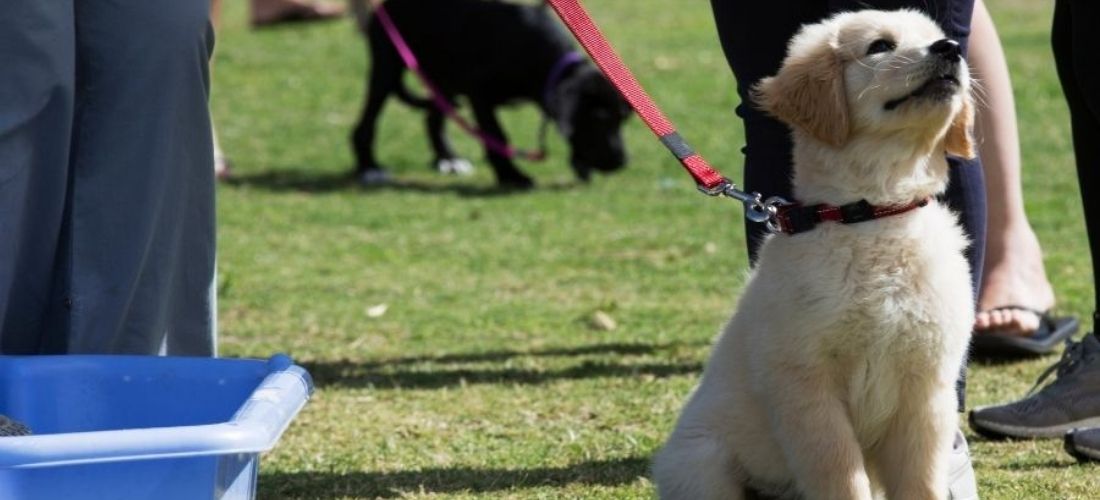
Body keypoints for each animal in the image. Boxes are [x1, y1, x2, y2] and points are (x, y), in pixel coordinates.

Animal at [352, 0, 629, 189]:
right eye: (600, 119)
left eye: (622, 120)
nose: (621, 162)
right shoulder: (480, 94)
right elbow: (496, 135)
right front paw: (511, 176)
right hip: (387, 65)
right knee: (366, 123)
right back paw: (370, 168)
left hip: (446, 80)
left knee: (432, 118)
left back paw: (448, 159)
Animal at [646, 8, 976, 500]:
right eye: (881, 46)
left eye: (938, 37)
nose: (950, 49)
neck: (873, 216)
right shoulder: (806, 385)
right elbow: (840, 474)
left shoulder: (928, 388)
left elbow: (921, 481)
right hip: (701, 463)